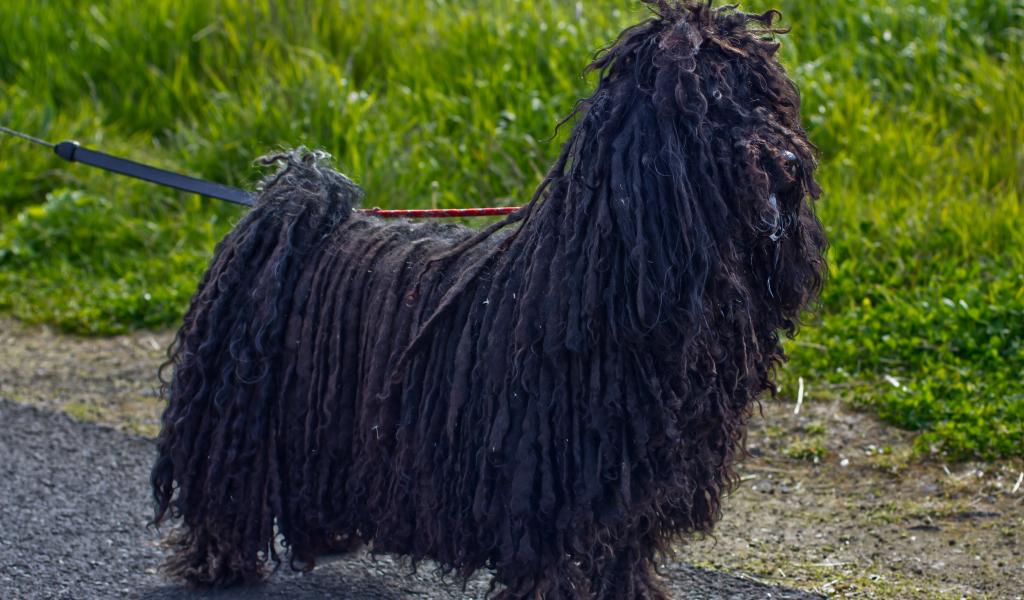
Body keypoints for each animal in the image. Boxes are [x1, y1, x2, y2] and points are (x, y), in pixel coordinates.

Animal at [151, 2, 827, 597]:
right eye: (709, 104)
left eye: (766, 96)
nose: (787, 160)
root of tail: (288, 207)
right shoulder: (544, 484)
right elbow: (549, 561)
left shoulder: (641, 481)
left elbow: (628, 550)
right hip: (233, 417)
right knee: (222, 497)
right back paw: (218, 564)